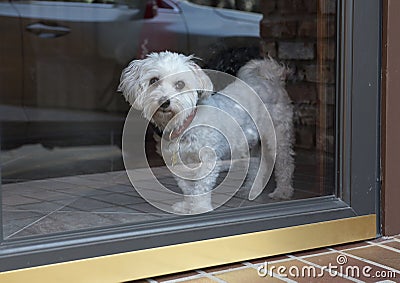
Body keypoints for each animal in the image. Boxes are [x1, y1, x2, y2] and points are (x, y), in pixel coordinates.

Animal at [119, 51, 294, 215]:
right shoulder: (178, 164)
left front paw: (199, 208)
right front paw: (187, 206)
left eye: (180, 84)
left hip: (278, 134)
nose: (164, 102)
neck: (185, 124)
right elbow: (187, 187)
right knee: (257, 163)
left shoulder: (208, 161)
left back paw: (282, 191)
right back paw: (252, 189)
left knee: (284, 163)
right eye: (153, 80)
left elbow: (201, 187)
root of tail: (268, 79)